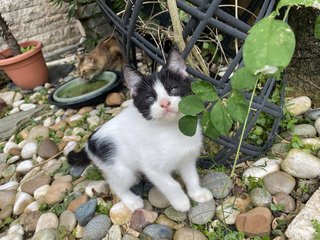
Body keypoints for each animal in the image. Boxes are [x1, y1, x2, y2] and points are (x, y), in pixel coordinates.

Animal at [68, 49, 212, 211]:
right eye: (150, 98)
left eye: (173, 89)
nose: (165, 103)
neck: (171, 129)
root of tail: (90, 142)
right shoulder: (152, 168)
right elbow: (171, 184)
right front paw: (181, 203)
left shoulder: (187, 157)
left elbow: (192, 176)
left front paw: (197, 194)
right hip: (120, 168)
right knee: (116, 184)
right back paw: (131, 201)